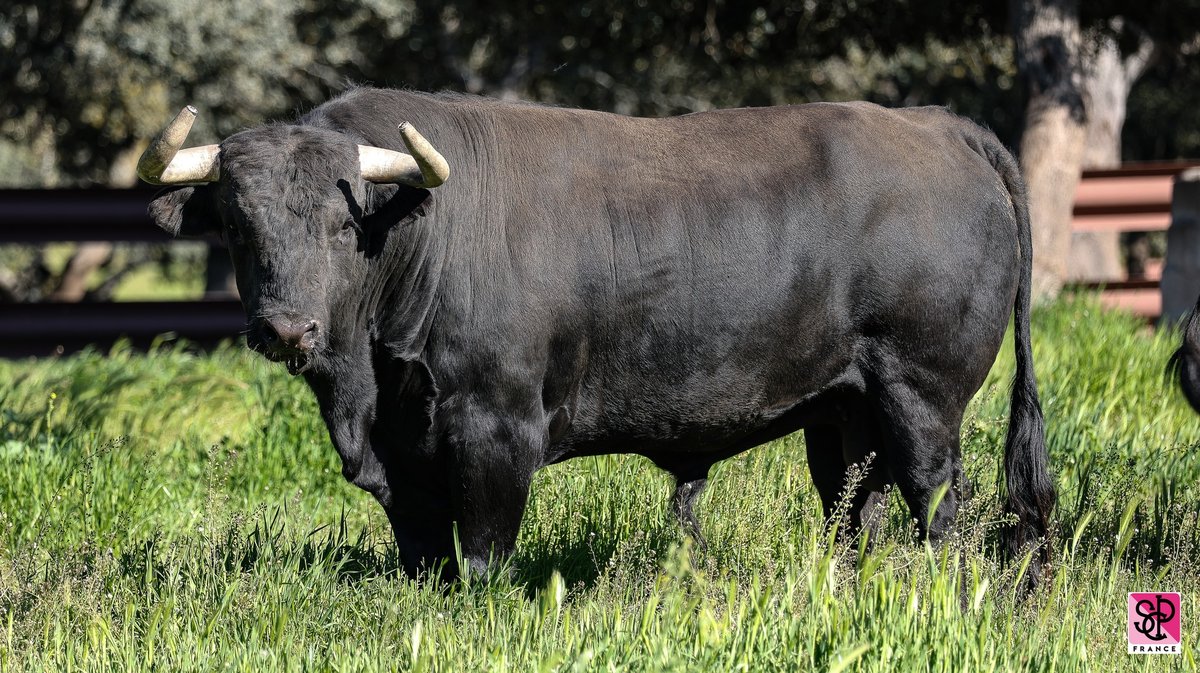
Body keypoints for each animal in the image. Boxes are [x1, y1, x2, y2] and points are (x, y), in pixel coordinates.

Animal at [145, 88, 1056, 583]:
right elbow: (424, 552)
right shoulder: (405, 453)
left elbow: (483, 553)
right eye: (237, 225)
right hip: (843, 412)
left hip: (921, 396)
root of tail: (935, 125)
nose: (285, 325)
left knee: (937, 503)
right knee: (854, 508)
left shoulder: (495, 427)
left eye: (342, 223)